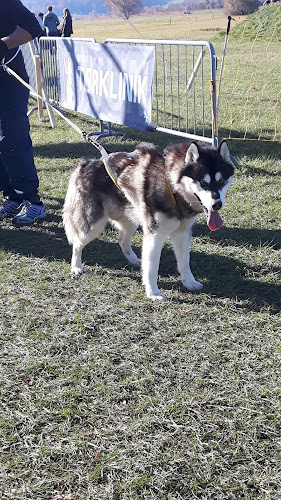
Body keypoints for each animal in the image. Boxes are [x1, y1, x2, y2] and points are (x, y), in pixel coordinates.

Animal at [62, 139, 233, 298]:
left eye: (221, 181)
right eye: (203, 182)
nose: (217, 204)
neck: (172, 186)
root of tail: (86, 164)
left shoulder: (182, 233)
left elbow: (185, 261)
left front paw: (189, 282)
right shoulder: (154, 234)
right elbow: (152, 267)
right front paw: (153, 293)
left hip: (131, 219)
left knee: (122, 240)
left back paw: (135, 260)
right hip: (92, 225)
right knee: (77, 243)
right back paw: (76, 267)